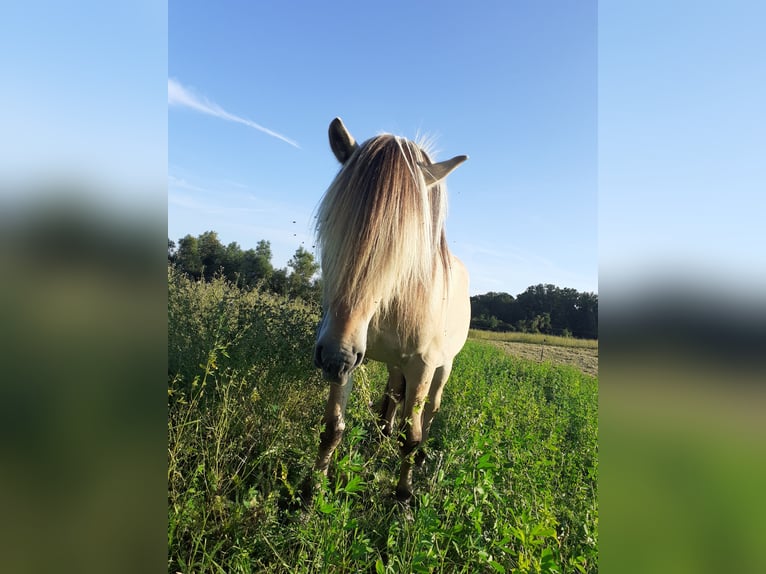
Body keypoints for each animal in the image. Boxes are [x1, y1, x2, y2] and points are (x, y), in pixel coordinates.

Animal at [304, 119, 468, 506]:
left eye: (404, 248)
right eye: (332, 229)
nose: (333, 355)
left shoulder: (421, 366)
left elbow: (412, 437)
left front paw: (404, 496)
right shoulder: (347, 354)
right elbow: (333, 427)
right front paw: (310, 490)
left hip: (443, 367)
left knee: (431, 409)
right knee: (393, 394)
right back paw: (381, 432)